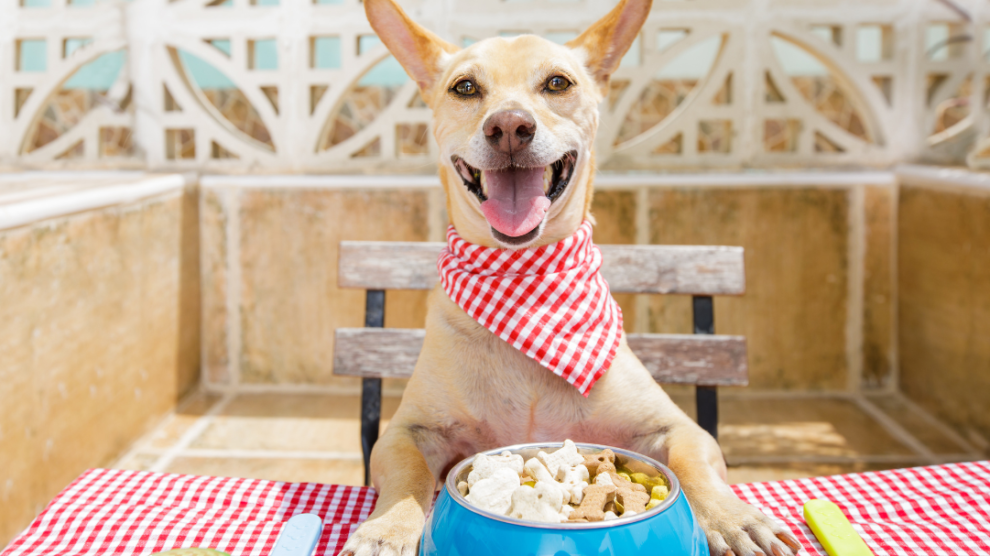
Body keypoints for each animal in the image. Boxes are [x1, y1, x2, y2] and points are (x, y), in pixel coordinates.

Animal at [340, 1, 808, 556]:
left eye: (557, 82)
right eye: (465, 87)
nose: (509, 126)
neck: (526, 284)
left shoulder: (679, 428)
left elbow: (694, 467)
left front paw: (732, 517)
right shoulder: (405, 432)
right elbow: (409, 477)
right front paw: (386, 528)